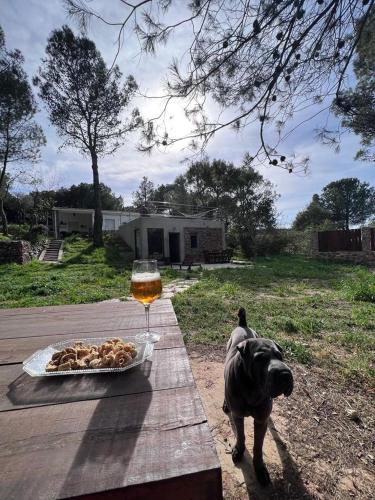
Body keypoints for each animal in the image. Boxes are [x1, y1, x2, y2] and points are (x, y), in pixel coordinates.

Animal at [223, 306, 294, 486]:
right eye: (260, 358)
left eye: (280, 356)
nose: (285, 374)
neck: (253, 388)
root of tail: (243, 325)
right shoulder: (238, 415)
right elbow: (241, 435)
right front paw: (238, 450)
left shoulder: (261, 420)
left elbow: (258, 446)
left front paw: (260, 468)